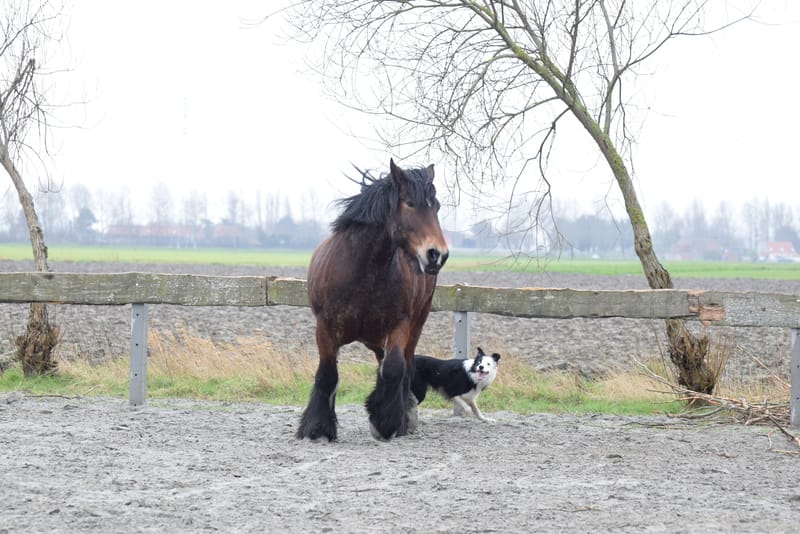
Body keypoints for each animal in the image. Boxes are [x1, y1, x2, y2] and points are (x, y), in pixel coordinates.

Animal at [296, 159, 449, 441]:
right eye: (409, 203)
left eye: (437, 206)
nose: (437, 255)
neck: (363, 272)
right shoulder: (325, 327)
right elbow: (327, 374)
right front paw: (318, 428)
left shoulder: (400, 324)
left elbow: (394, 368)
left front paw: (385, 422)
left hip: (414, 325)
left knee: (404, 365)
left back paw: (404, 415)